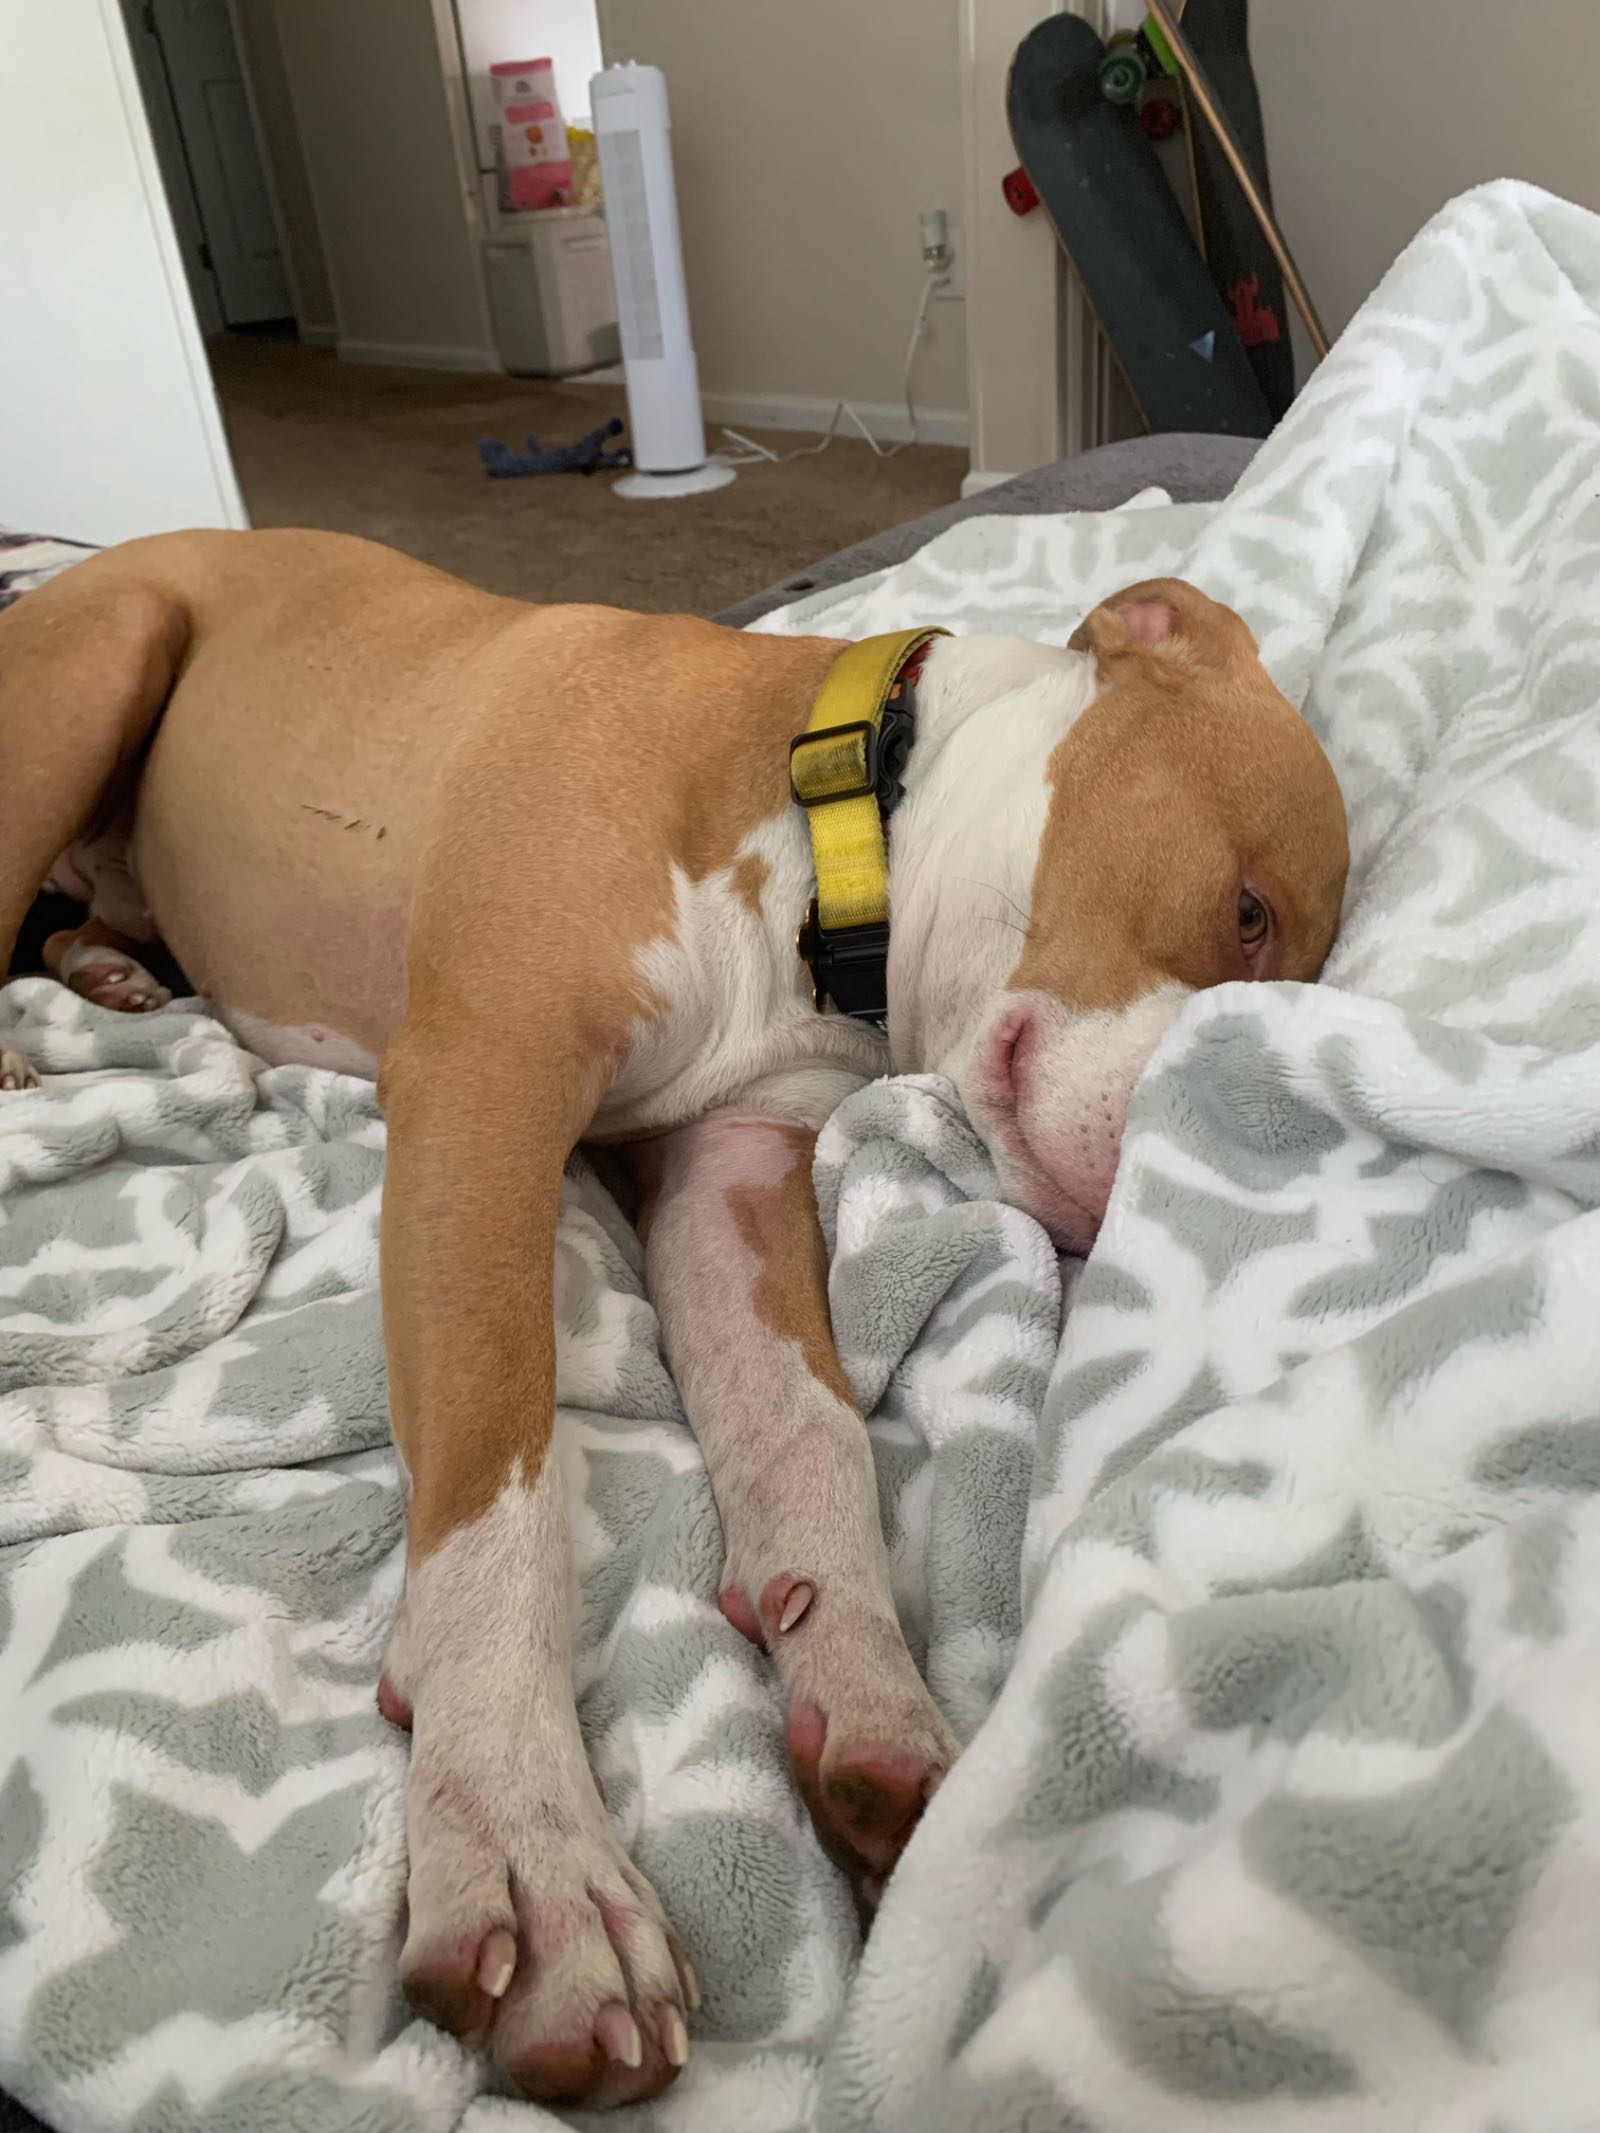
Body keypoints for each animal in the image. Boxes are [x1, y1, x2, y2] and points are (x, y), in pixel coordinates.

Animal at [0, 530, 1347, 2107]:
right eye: (1247, 912)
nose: (1136, 1192)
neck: (822, 823)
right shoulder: (486, 1094)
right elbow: (500, 1479)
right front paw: (526, 1845)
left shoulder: (732, 1174)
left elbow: (805, 1429)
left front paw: (869, 1695)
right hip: (105, 664)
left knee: (84, 927)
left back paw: (108, 975)